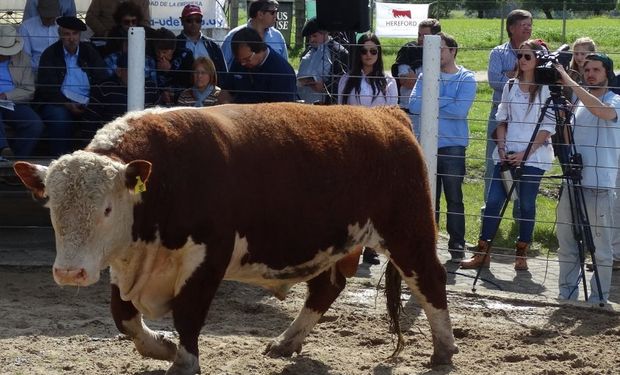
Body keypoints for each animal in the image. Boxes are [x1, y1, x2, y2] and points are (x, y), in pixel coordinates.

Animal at [14, 103, 458, 375]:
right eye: (51, 204)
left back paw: (443, 349)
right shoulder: (125, 262)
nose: (70, 272)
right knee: (325, 288)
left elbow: (188, 315)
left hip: (408, 230)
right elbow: (123, 316)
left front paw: (183, 360)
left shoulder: (208, 257)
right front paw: (161, 346)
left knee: (430, 282)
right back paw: (286, 342)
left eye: (107, 209)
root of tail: (385, 115)